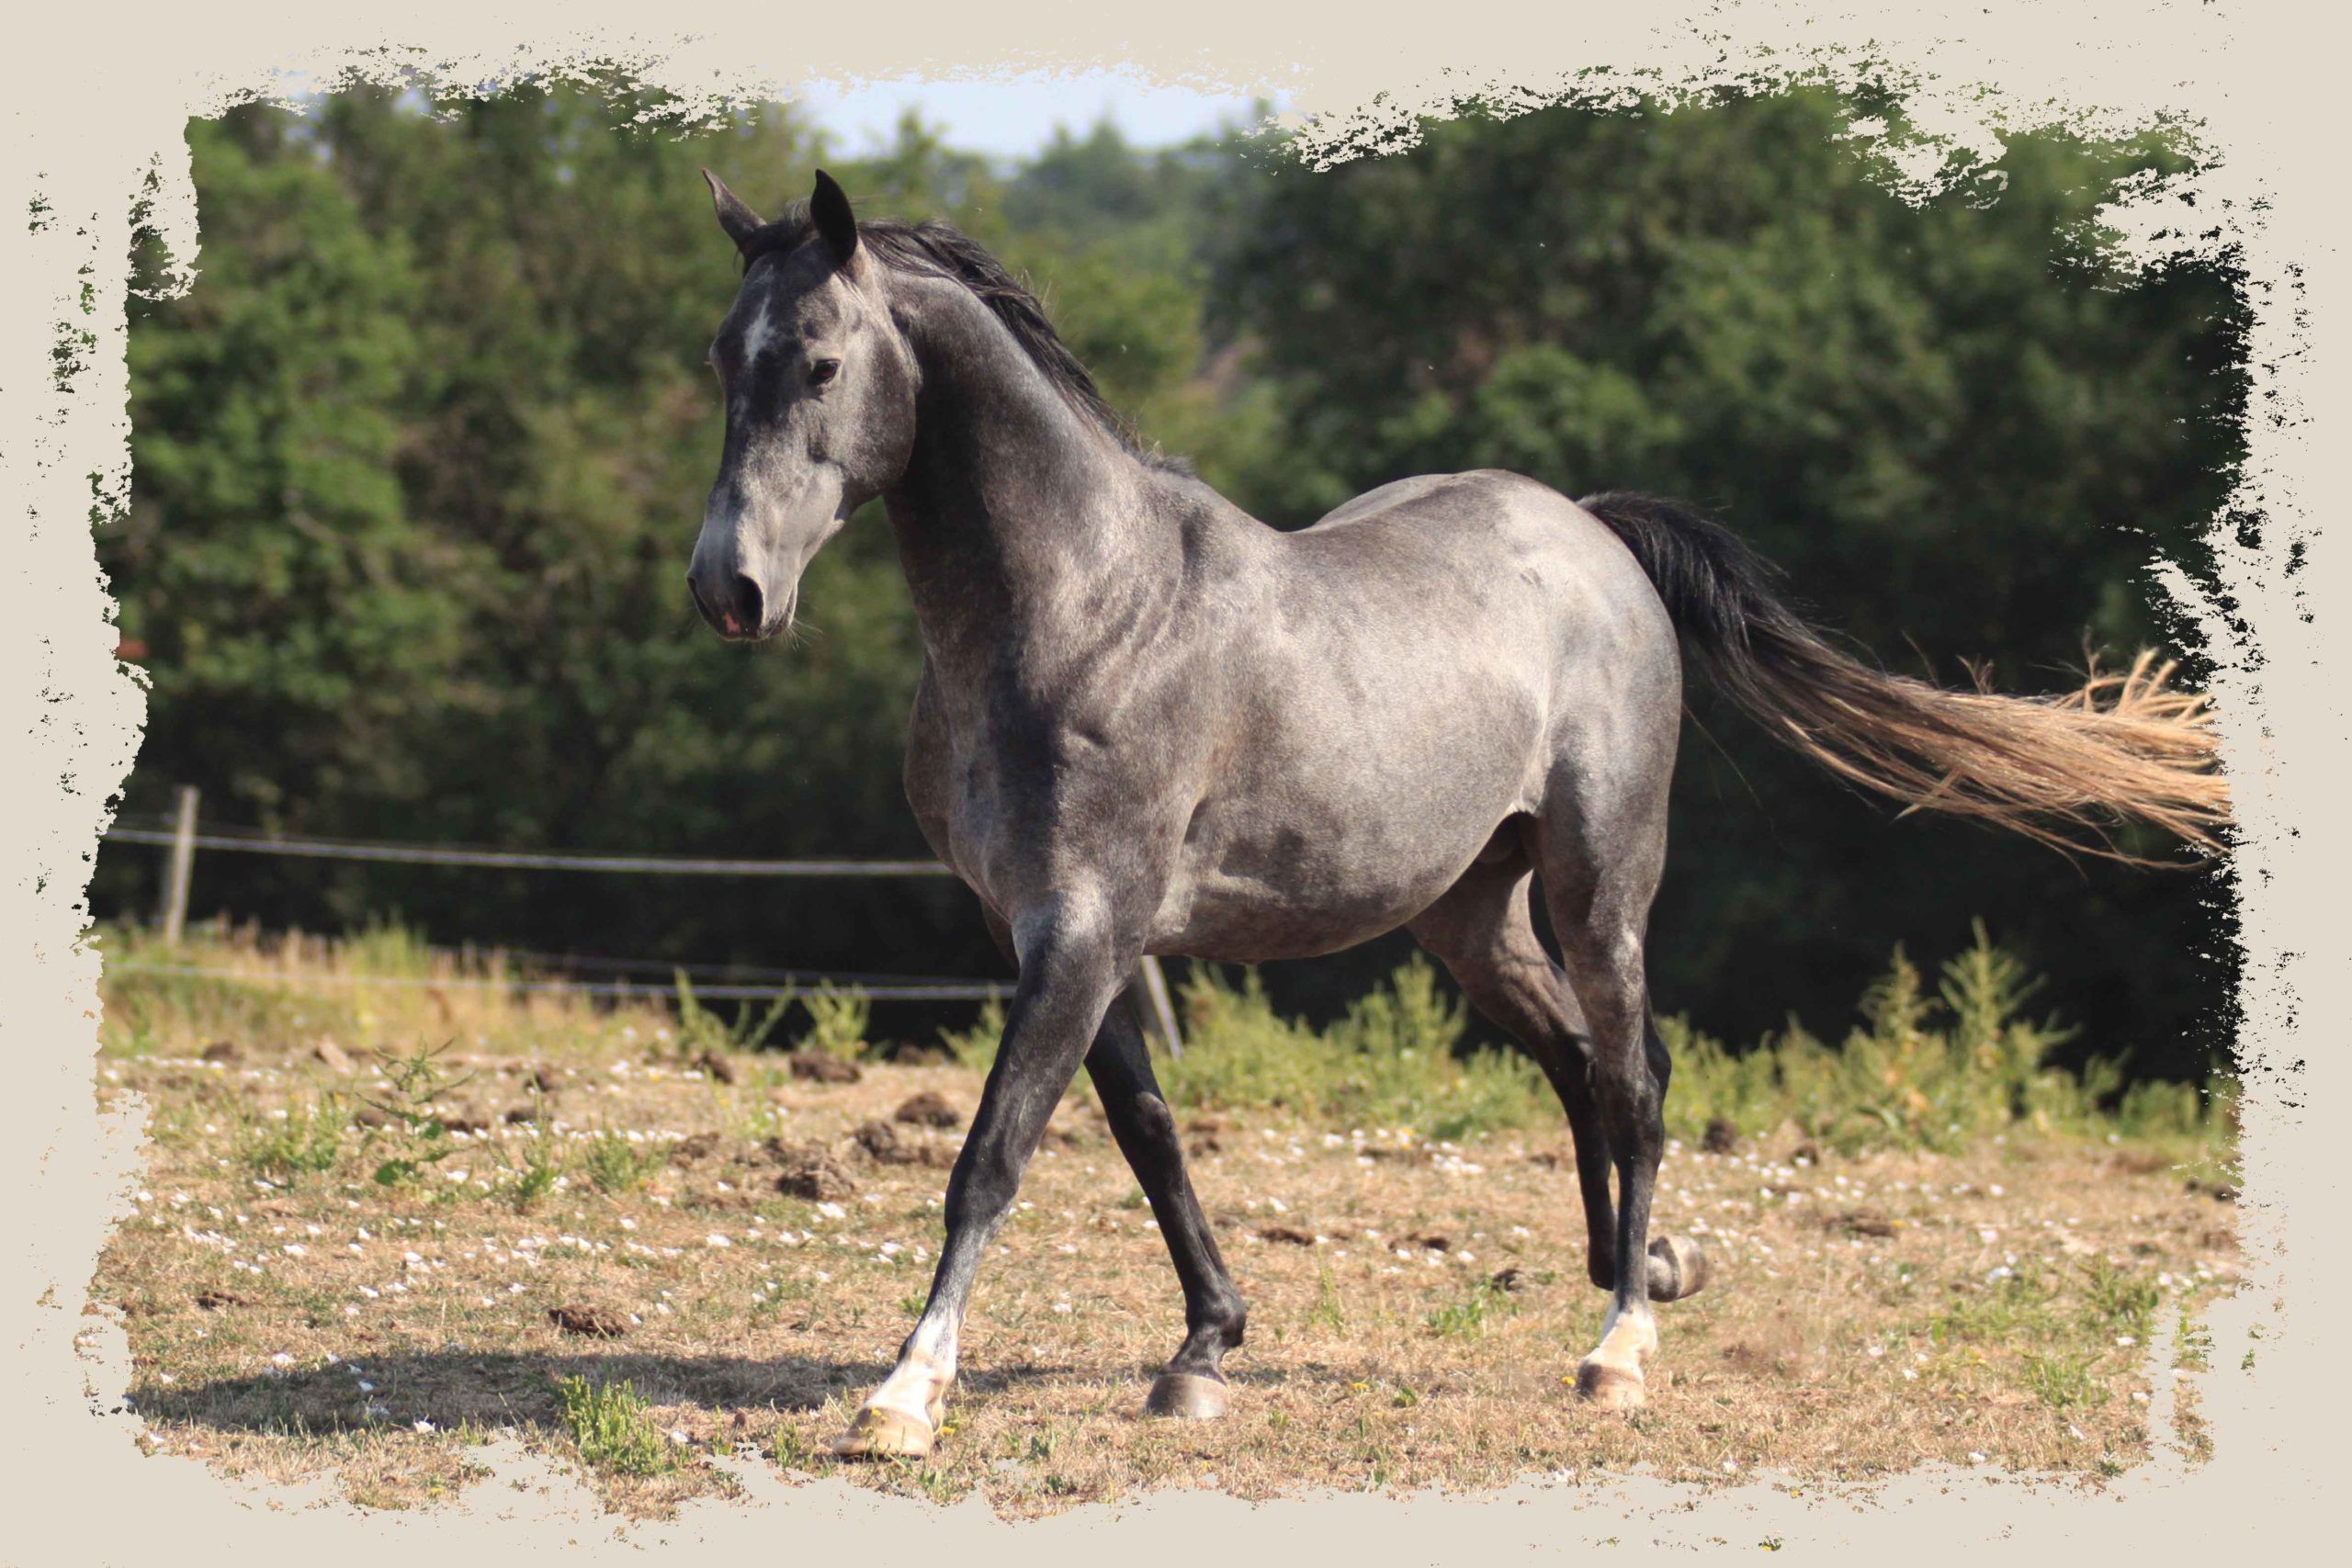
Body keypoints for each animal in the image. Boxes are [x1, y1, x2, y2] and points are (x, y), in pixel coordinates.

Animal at [677, 169, 2220, 1457]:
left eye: (821, 361)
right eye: (720, 358)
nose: (728, 590)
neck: (1085, 606)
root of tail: (1591, 532)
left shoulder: (1089, 927)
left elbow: (992, 1153)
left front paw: (903, 1391)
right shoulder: (1049, 932)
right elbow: (1150, 1134)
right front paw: (1203, 1349)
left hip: (1602, 882)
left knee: (1637, 1073)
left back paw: (1620, 1344)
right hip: (1470, 912)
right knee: (1578, 1061)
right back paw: (1638, 1269)